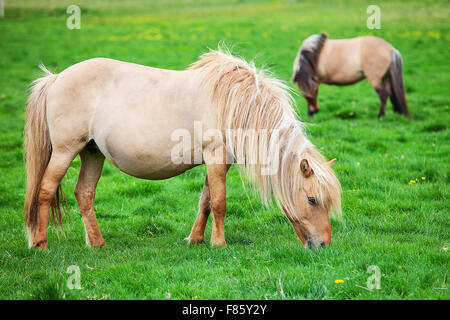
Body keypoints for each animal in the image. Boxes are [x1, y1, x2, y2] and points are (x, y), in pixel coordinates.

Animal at [24, 48, 342, 251]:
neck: (235, 102)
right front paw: (219, 244)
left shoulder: (219, 162)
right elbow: (219, 202)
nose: (324, 245)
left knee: (84, 194)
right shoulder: (215, 158)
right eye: (312, 199)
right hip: (65, 151)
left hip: (92, 153)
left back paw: (97, 244)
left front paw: (196, 240)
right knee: (45, 190)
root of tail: (55, 79)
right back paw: (40, 244)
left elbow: (205, 202)